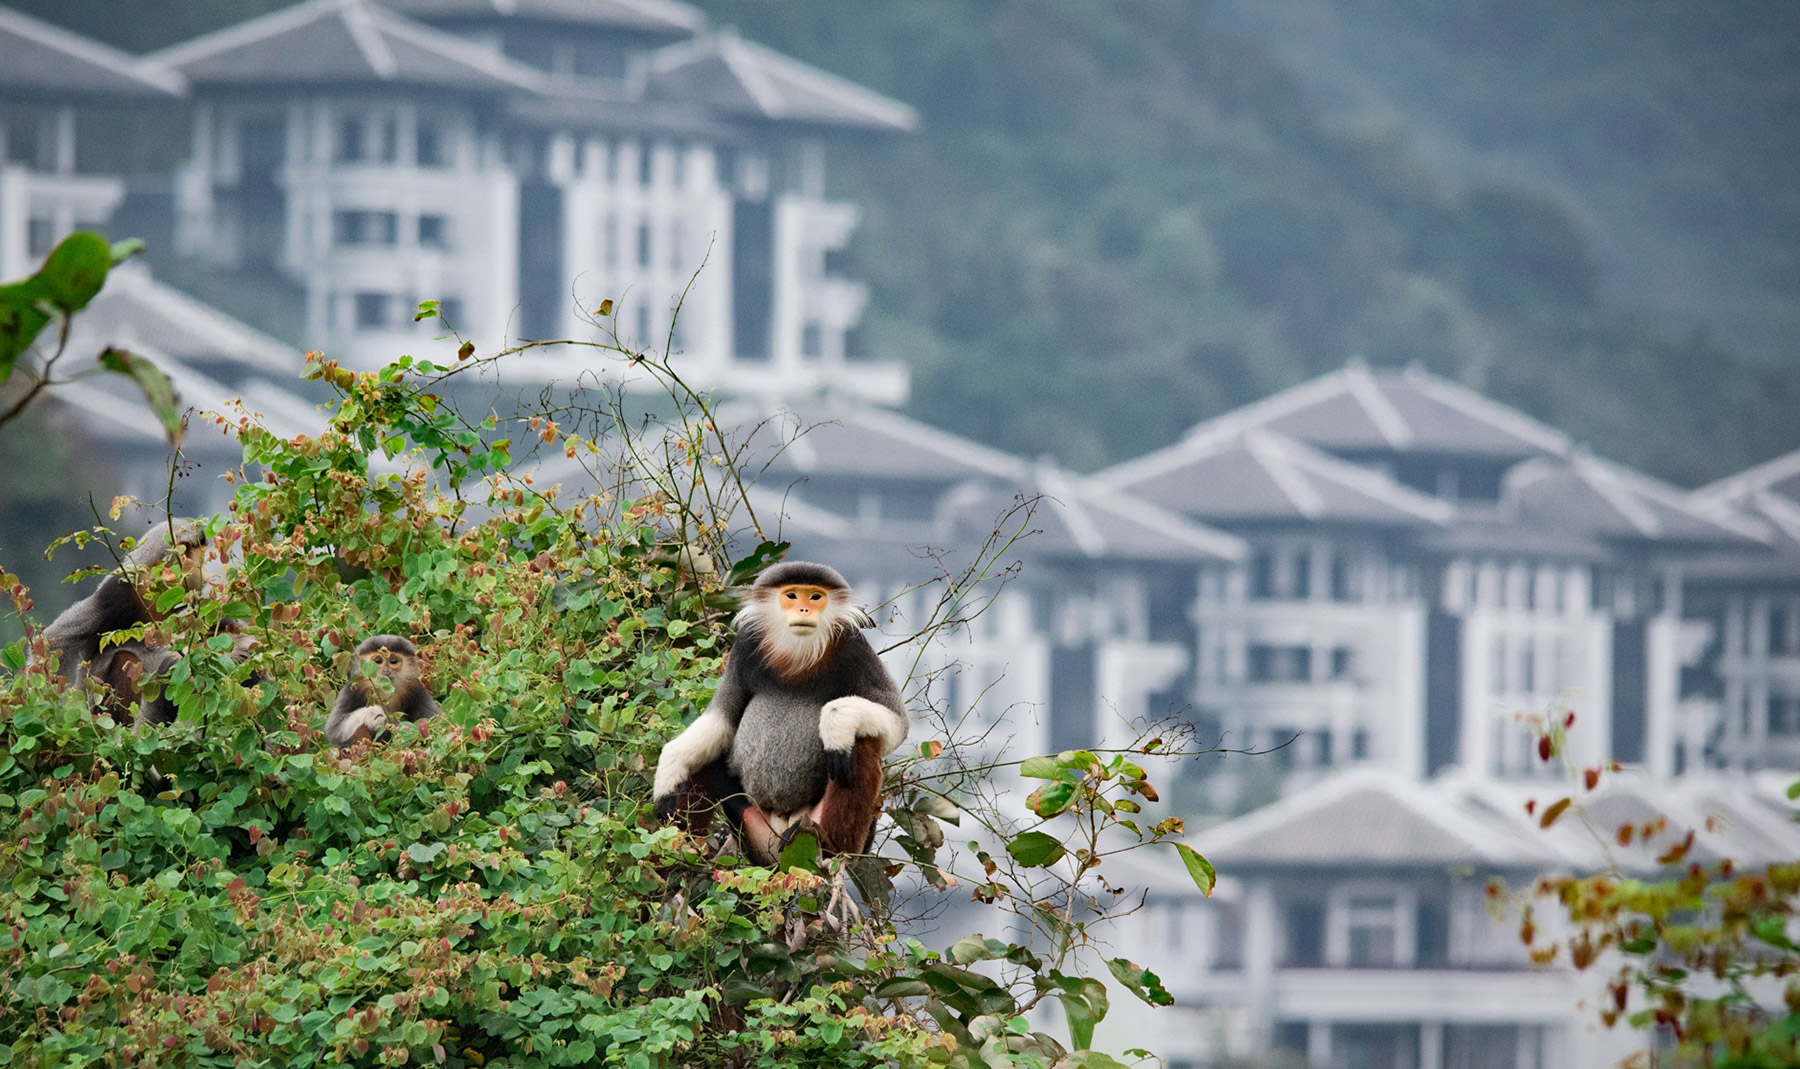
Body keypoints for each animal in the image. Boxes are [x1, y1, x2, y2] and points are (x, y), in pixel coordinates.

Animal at [651, 561, 914, 860]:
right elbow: (722, 720)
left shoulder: (854, 647)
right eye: (791, 596)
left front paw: (836, 724)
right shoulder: (744, 648)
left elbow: (897, 722)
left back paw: (830, 844)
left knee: (860, 742)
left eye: (815, 597)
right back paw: (685, 850)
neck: (797, 652)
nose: (804, 610)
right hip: (752, 832)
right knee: (705, 760)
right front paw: (668, 771)